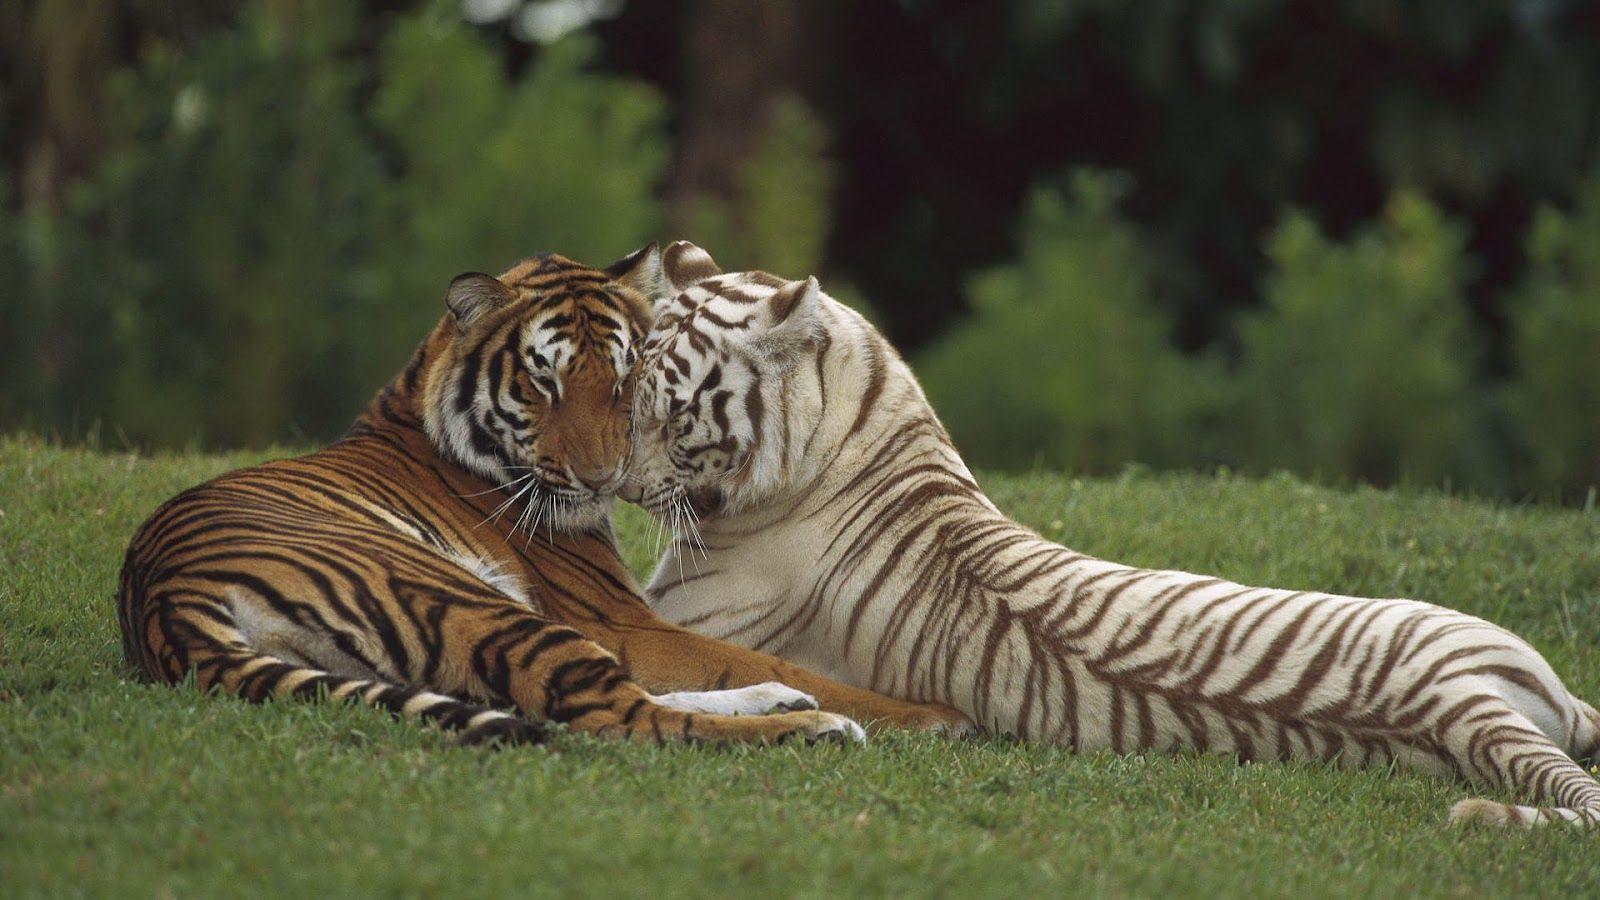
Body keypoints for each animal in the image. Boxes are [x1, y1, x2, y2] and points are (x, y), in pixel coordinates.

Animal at [117, 245, 970, 748]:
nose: (603, 480)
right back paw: (821, 725)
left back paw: (788, 706)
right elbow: (745, 658)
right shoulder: (618, 619)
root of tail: (163, 600)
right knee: (624, 716)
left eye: (624, 380)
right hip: (473, 602)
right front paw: (930, 715)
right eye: (543, 382)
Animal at [620, 240, 1600, 825]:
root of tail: (1456, 699)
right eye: (624, 395)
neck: (856, 410)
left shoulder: (677, 618)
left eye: (672, 415)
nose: (617, 485)